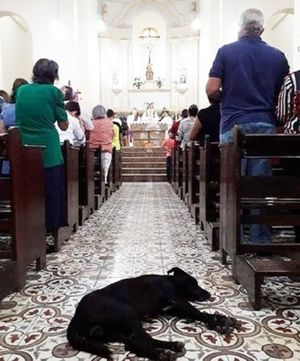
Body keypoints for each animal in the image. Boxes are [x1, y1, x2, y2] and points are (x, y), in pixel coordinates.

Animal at [68, 266, 239, 358]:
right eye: (194, 283)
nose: (209, 294)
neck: (170, 281)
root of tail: (76, 316)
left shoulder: (175, 309)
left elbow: (200, 314)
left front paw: (223, 319)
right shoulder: (178, 300)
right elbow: (199, 313)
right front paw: (217, 325)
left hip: (109, 332)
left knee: (131, 343)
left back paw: (170, 347)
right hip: (127, 312)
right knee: (137, 339)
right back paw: (160, 353)